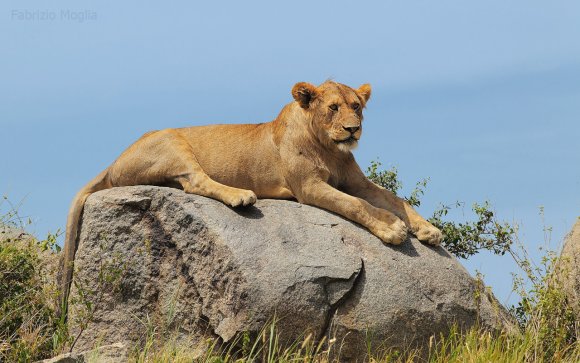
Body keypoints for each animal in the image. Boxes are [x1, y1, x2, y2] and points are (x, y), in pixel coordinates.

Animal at [59, 81, 442, 318]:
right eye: (334, 108)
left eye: (357, 107)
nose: (353, 129)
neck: (330, 148)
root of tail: (114, 161)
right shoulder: (309, 187)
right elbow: (356, 205)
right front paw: (392, 229)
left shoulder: (357, 182)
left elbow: (395, 199)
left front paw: (428, 230)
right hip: (172, 142)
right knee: (196, 182)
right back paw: (242, 196)